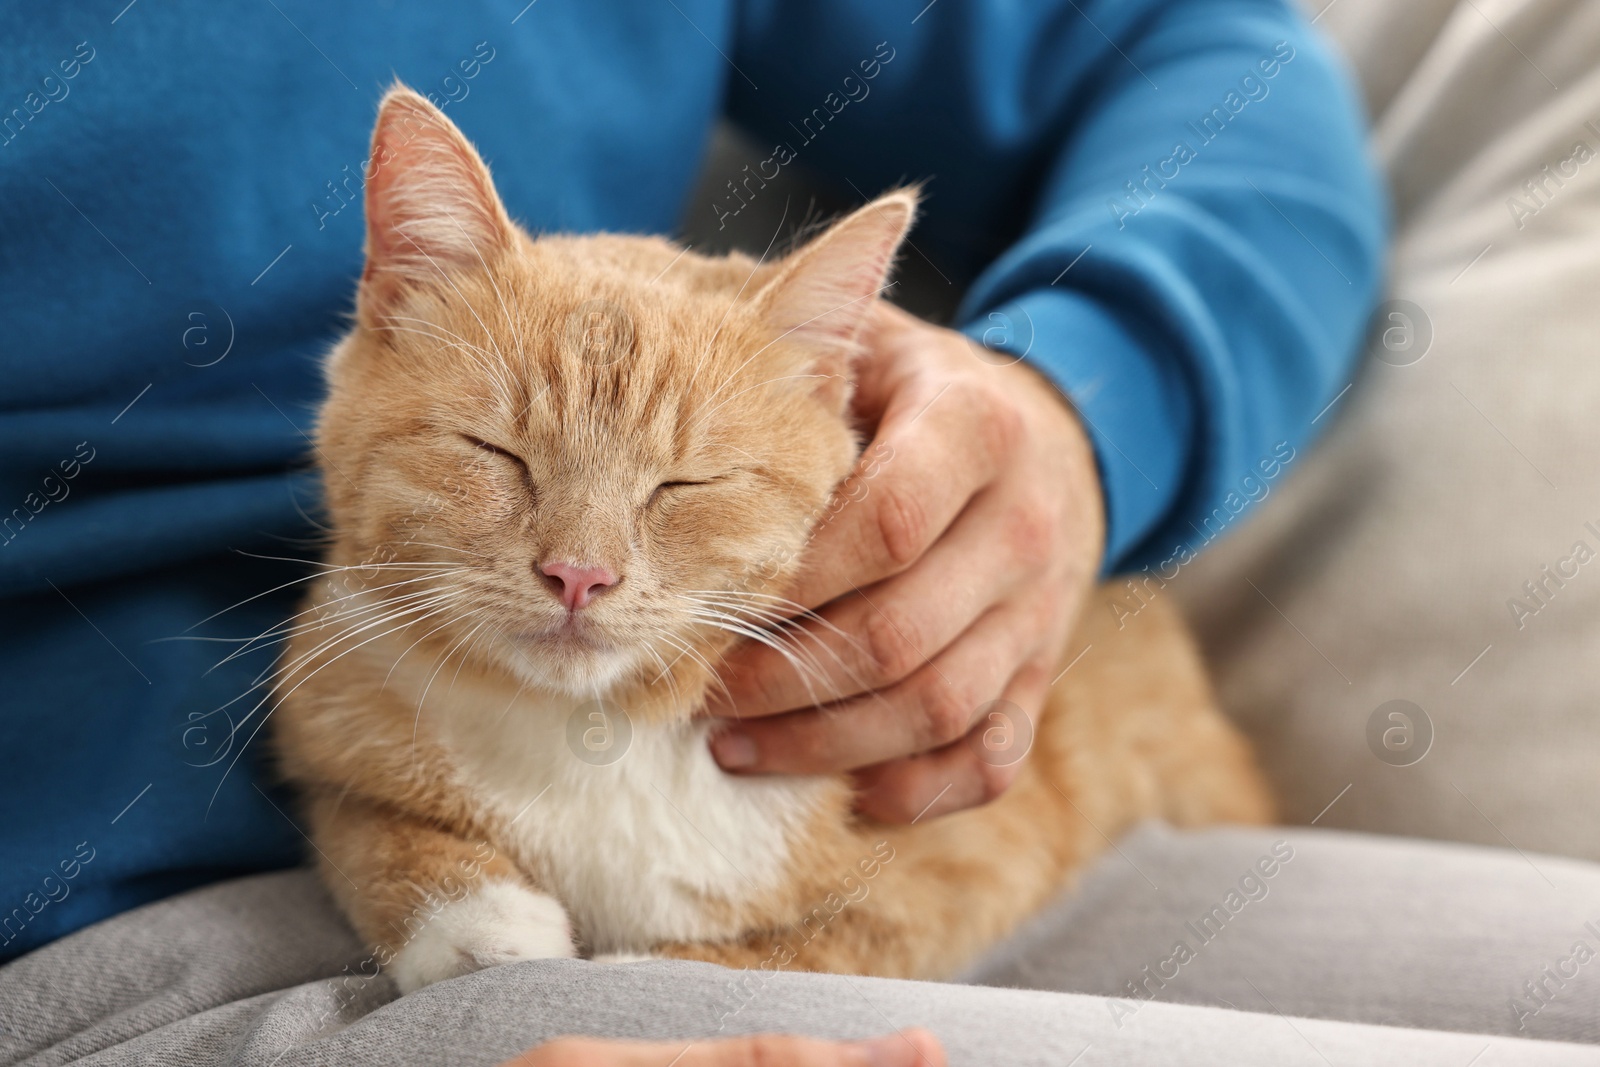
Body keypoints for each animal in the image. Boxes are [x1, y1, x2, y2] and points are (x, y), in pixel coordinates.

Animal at [278, 87, 1273, 998]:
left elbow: (828, 945)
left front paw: (647, 968)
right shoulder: (326, 717)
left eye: (685, 484)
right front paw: (481, 923)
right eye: (496, 452)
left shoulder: (979, 862)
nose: (578, 575)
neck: (593, 736)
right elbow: (365, 826)